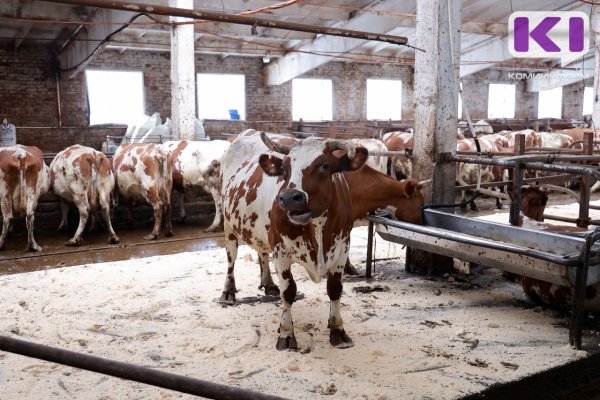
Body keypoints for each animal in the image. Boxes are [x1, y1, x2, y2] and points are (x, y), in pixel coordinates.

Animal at [219, 132, 422, 350]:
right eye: (284, 169)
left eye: (325, 165)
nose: (289, 197)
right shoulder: (281, 251)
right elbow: (288, 292)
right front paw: (286, 334)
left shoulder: (342, 247)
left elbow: (335, 289)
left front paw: (338, 330)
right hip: (229, 225)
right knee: (231, 257)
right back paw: (228, 292)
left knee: (262, 251)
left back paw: (269, 284)